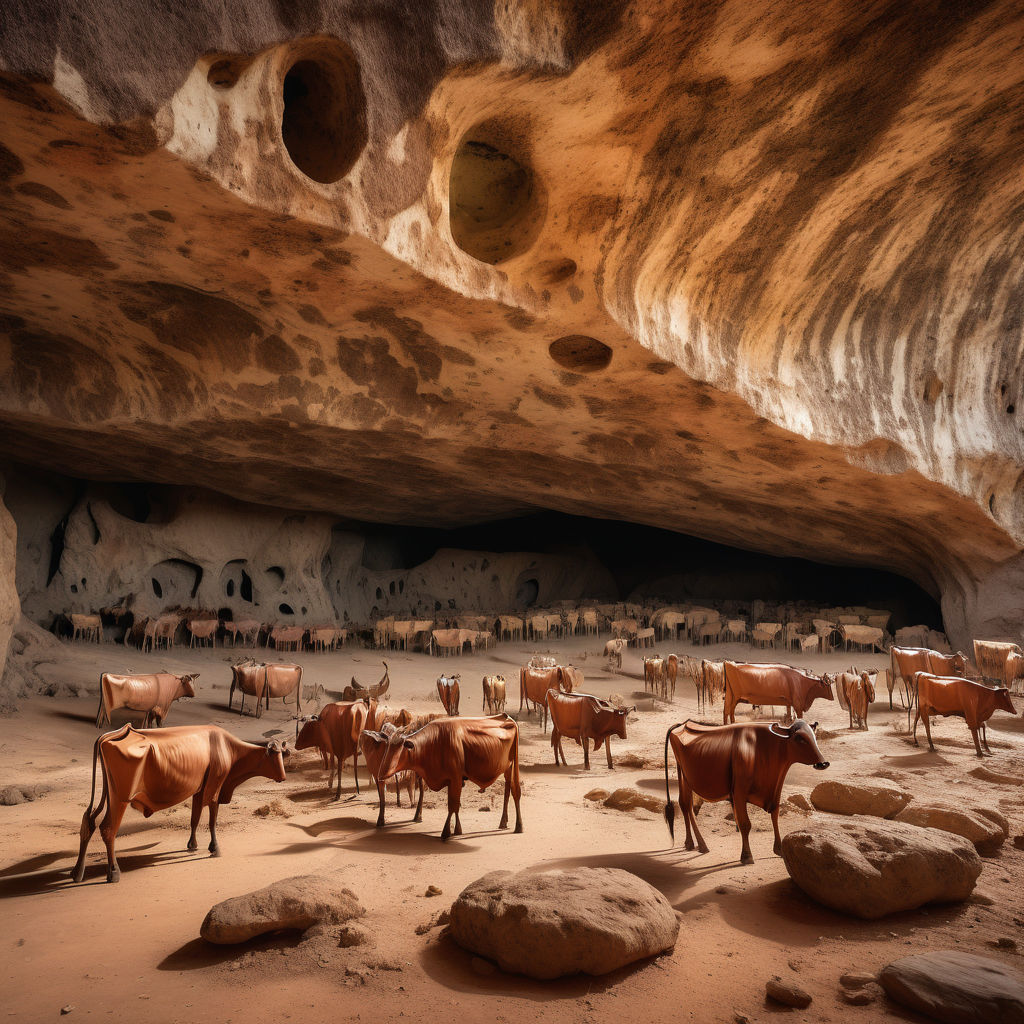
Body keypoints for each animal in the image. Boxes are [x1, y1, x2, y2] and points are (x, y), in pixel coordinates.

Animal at [70, 724, 288, 884]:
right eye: (273, 757)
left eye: (282, 755)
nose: (283, 777)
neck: (228, 747)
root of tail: (114, 734)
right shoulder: (214, 788)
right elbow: (212, 821)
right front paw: (214, 848)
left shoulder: (199, 789)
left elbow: (195, 818)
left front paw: (192, 845)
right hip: (119, 798)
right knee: (108, 829)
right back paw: (114, 871)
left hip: (107, 794)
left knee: (87, 822)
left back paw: (77, 872)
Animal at [358, 712, 520, 839]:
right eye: (388, 746)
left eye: (400, 748)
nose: (382, 773)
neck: (434, 742)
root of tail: (506, 717)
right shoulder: (450, 779)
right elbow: (455, 806)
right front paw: (457, 830)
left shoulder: (455, 778)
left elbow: (453, 805)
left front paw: (447, 832)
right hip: (507, 768)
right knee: (507, 789)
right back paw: (503, 822)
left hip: (514, 764)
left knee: (515, 791)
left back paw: (519, 826)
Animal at [663, 720, 831, 864]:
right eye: (799, 738)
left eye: (814, 736)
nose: (823, 763)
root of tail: (683, 724)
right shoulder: (739, 791)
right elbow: (745, 823)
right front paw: (747, 855)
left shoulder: (774, 792)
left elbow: (775, 815)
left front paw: (779, 849)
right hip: (684, 773)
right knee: (686, 805)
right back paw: (701, 844)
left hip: (683, 773)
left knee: (685, 805)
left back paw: (690, 843)